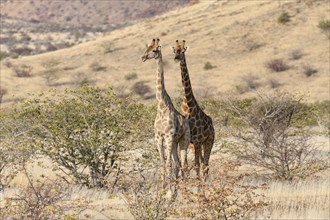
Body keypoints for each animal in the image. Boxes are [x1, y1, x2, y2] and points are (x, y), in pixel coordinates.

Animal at [141, 38, 191, 182]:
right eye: (146, 47)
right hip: (175, 142)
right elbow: (163, 164)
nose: (143, 57)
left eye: (154, 50)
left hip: (184, 140)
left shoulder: (168, 136)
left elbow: (168, 163)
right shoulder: (158, 137)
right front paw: (163, 186)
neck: (161, 106)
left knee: (183, 164)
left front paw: (167, 186)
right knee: (178, 163)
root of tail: (187, 122)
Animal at [171, 40, 215, 180]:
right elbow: (185, 165)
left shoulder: (197, 141)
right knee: (202, 163)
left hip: (209, 141)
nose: (176, 59)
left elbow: (196, 165)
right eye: (174, 51)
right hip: (197, 144)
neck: (188, 107)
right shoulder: (189, 141)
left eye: (183, 51)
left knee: (205, 165)